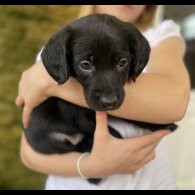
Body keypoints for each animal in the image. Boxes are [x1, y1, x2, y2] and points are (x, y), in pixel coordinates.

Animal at [24, 14, 177, 185]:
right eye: (85, 65)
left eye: (122, 62)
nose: (108, 102)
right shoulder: (82, 117)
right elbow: (114, 133)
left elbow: (133, 117)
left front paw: (160, 124)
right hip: (47, 141)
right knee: (76, 147)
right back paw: (93, 175)